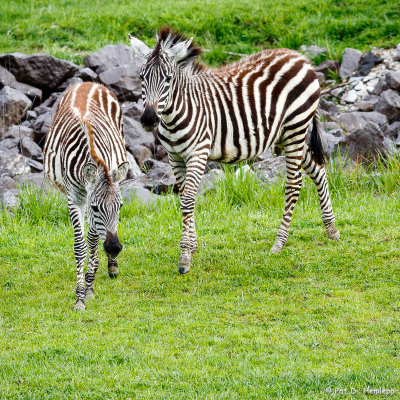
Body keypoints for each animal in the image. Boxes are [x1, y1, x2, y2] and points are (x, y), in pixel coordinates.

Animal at [44, 81, 129, 310]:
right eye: (95, 207)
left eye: (120, 207)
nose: (114, 248)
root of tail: (88, 82)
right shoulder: (75, 197)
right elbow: (80, 246)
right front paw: (80, 297)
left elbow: (92, 240)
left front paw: (89, 287)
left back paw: (112, 266)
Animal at [129, 26, 340, 274]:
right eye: (141, 77)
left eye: (169, 79)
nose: (149, 119)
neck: (175, 114)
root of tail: (300, 57)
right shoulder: (175, 157)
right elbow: (184, 199)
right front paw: (193, 246)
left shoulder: (198, 153)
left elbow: (189, 199)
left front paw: (185, 257)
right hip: (285, 134)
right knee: (317, 169)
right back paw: (331, 228)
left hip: (295, 128)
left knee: (294, 184)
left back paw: (279, 243)